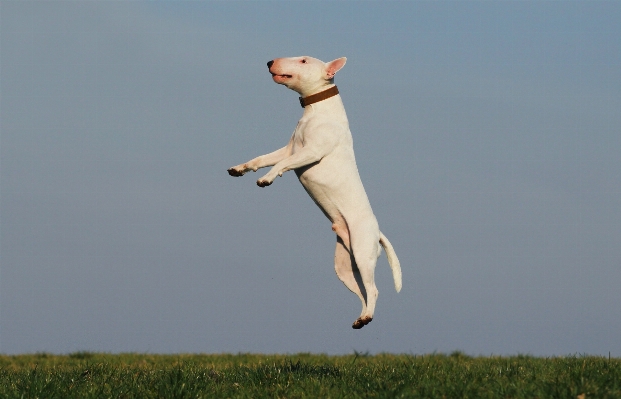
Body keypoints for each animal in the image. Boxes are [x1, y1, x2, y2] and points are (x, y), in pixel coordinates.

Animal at [228, 57, 402, 332]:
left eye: (303, 60)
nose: (270, 61)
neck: (315, 111)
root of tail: (378, 232)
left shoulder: (310, 152)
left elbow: (280, 166)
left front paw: (266, 179)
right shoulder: (289, 149)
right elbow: (263, 159)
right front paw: (240, 168)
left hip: (363, 252)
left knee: (373, 290)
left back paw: (366, 317)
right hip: (344, 267)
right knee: (362, 291)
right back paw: (361, 318)